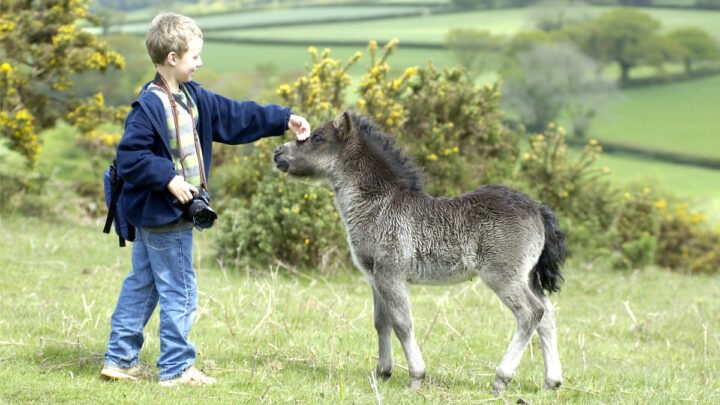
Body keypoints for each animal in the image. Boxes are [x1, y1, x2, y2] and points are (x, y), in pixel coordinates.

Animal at [272, 112, 564, 392]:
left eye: (317, 137)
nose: (277, 152)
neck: (378, 205)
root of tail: (537, 209)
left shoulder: (390, 274)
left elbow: (402, 323)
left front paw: (416, 377)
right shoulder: (374, 277)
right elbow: (381, 322)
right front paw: (383, 372)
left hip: (502, 276)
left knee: (531, 313)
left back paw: (501, 379)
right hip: (527, 277)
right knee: (547, 314)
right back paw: (552, 382)